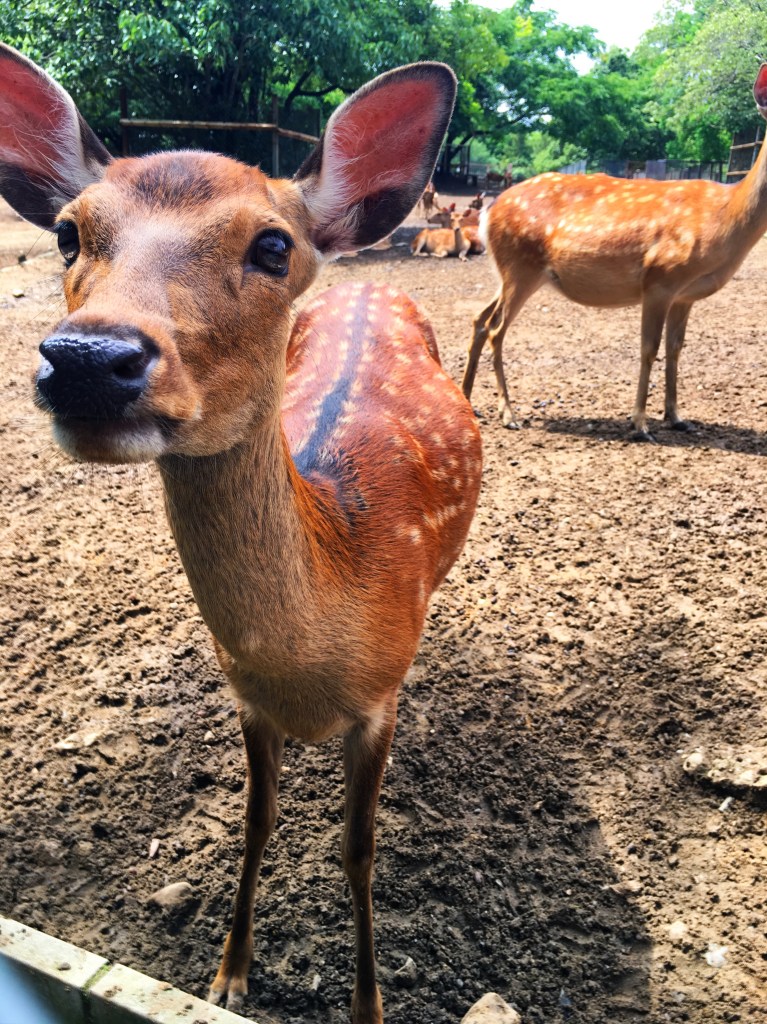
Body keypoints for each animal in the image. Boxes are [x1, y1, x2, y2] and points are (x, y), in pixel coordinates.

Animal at [0, 43, 483, 1024]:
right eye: (68, 233)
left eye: (271, 245)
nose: (89, 359)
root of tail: (376, 274)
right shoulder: (247, 699)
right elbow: (255, 821)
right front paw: (229, 972)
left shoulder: (376, 707)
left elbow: (357, 850)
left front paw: (369, 1005)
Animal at [463, 63, 767, 439]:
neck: (725, 219)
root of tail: (489, 212)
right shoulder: (660, 278)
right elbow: (649, 349)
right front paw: (640, 423)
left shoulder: (686, 295)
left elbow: (675, 349)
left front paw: (676, 417)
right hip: (521, 267)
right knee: (495, 329)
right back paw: (508, 413)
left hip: (509, 272)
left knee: (479, 319)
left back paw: (466, 399)